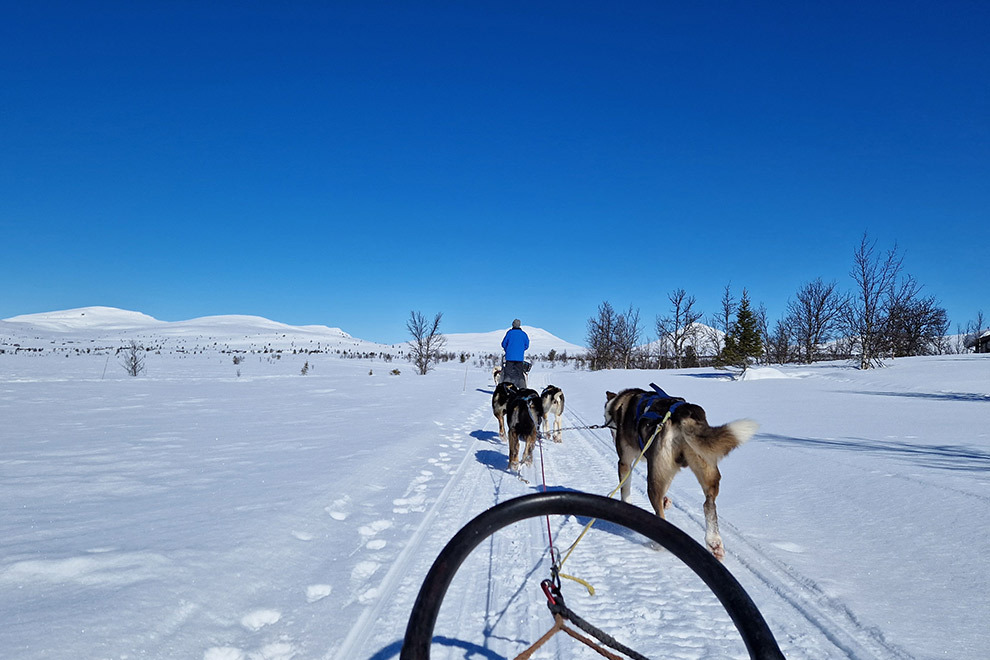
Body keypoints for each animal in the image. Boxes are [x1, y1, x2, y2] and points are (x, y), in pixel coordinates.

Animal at [604, 384, 760, 560]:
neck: (620, 404)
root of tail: (683, 412)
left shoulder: (624, 462)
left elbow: (625, 489)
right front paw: (666, 501)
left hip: (654, 478)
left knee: (660, 513)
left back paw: (656, 544)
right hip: (705, 468)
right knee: (708, 503)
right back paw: (714, 543)